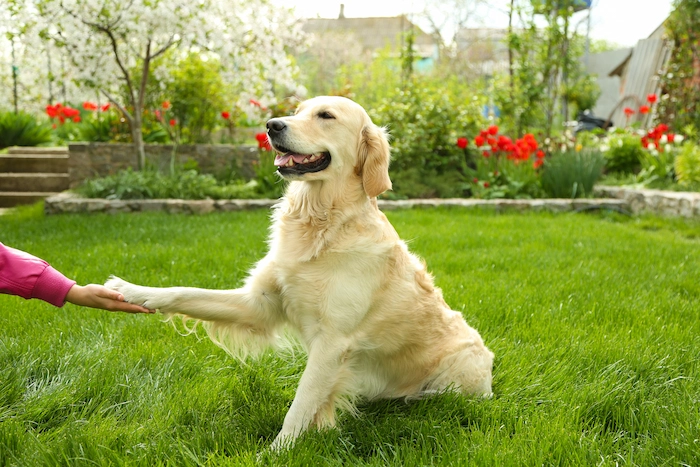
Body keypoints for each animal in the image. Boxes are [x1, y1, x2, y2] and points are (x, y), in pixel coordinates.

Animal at [106, 95, 494, 450]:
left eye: (326, 116)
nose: (272, 125)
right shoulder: (260, 303)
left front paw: (277, 451)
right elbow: (184, 293)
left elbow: (300, 403)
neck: (319, 222)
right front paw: (130, 289)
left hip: (459, 373)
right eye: (297, 110)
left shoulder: (333, 340)